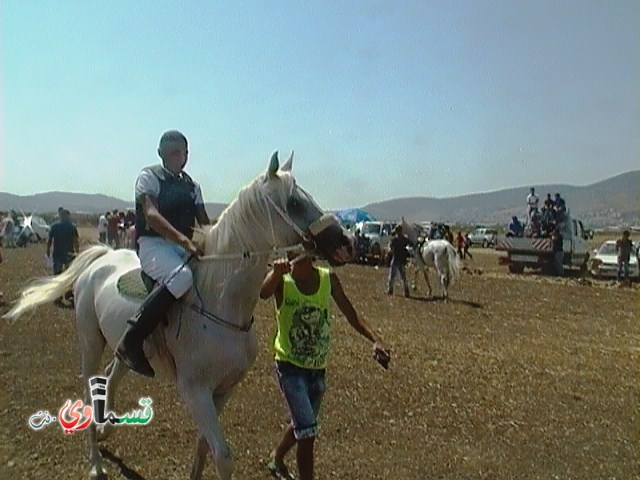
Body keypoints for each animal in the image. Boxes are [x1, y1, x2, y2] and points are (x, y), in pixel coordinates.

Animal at [3, 153, 356, 480]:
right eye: (294, 202)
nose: (345, 242)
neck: (221, 302)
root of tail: (102, 258)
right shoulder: (195, 390)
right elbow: (223, 455)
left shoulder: (224, 389)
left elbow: (204, 446)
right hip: (90, 342)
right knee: (90, 390)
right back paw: (96, 463)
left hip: (123, 346)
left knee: (113, 374)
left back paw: (106, 431)